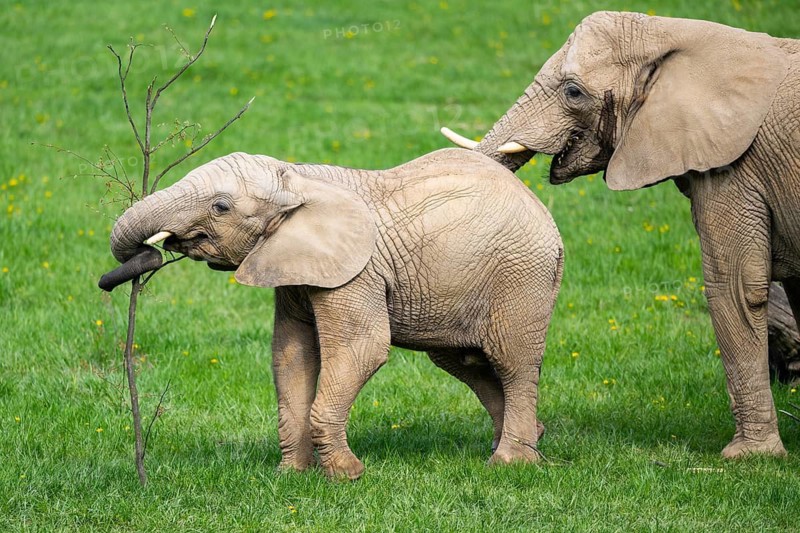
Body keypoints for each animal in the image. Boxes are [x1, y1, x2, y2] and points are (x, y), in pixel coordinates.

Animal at [105, 149, 563, 479]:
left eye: (220, 207)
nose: (112, 281)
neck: (297, 177)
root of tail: (545, 215)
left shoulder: (357, 272)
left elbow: (362, 349)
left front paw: (347, 475)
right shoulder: (294, 268)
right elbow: (291, 355)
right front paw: (291, 475)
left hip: (521, 275)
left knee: (513, 361)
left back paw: (510, 463)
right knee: (461, 360)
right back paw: (529, 440)